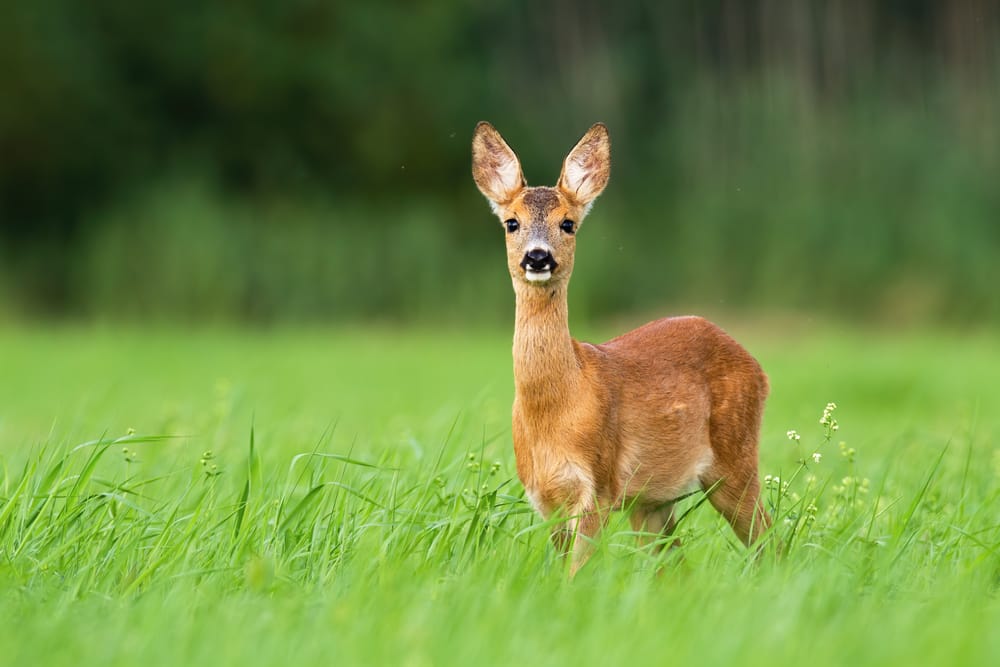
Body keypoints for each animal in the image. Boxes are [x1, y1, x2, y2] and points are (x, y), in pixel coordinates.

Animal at [471, 121, 772, 575]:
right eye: (511, 222)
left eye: (568, 223)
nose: (538, 257)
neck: (558, 406)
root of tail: (757, 367)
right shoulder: (544, 497)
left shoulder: (597, 485)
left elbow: (576, 574)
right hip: (653, 501)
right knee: (676, 562)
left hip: (734, 459)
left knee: (770, 538)